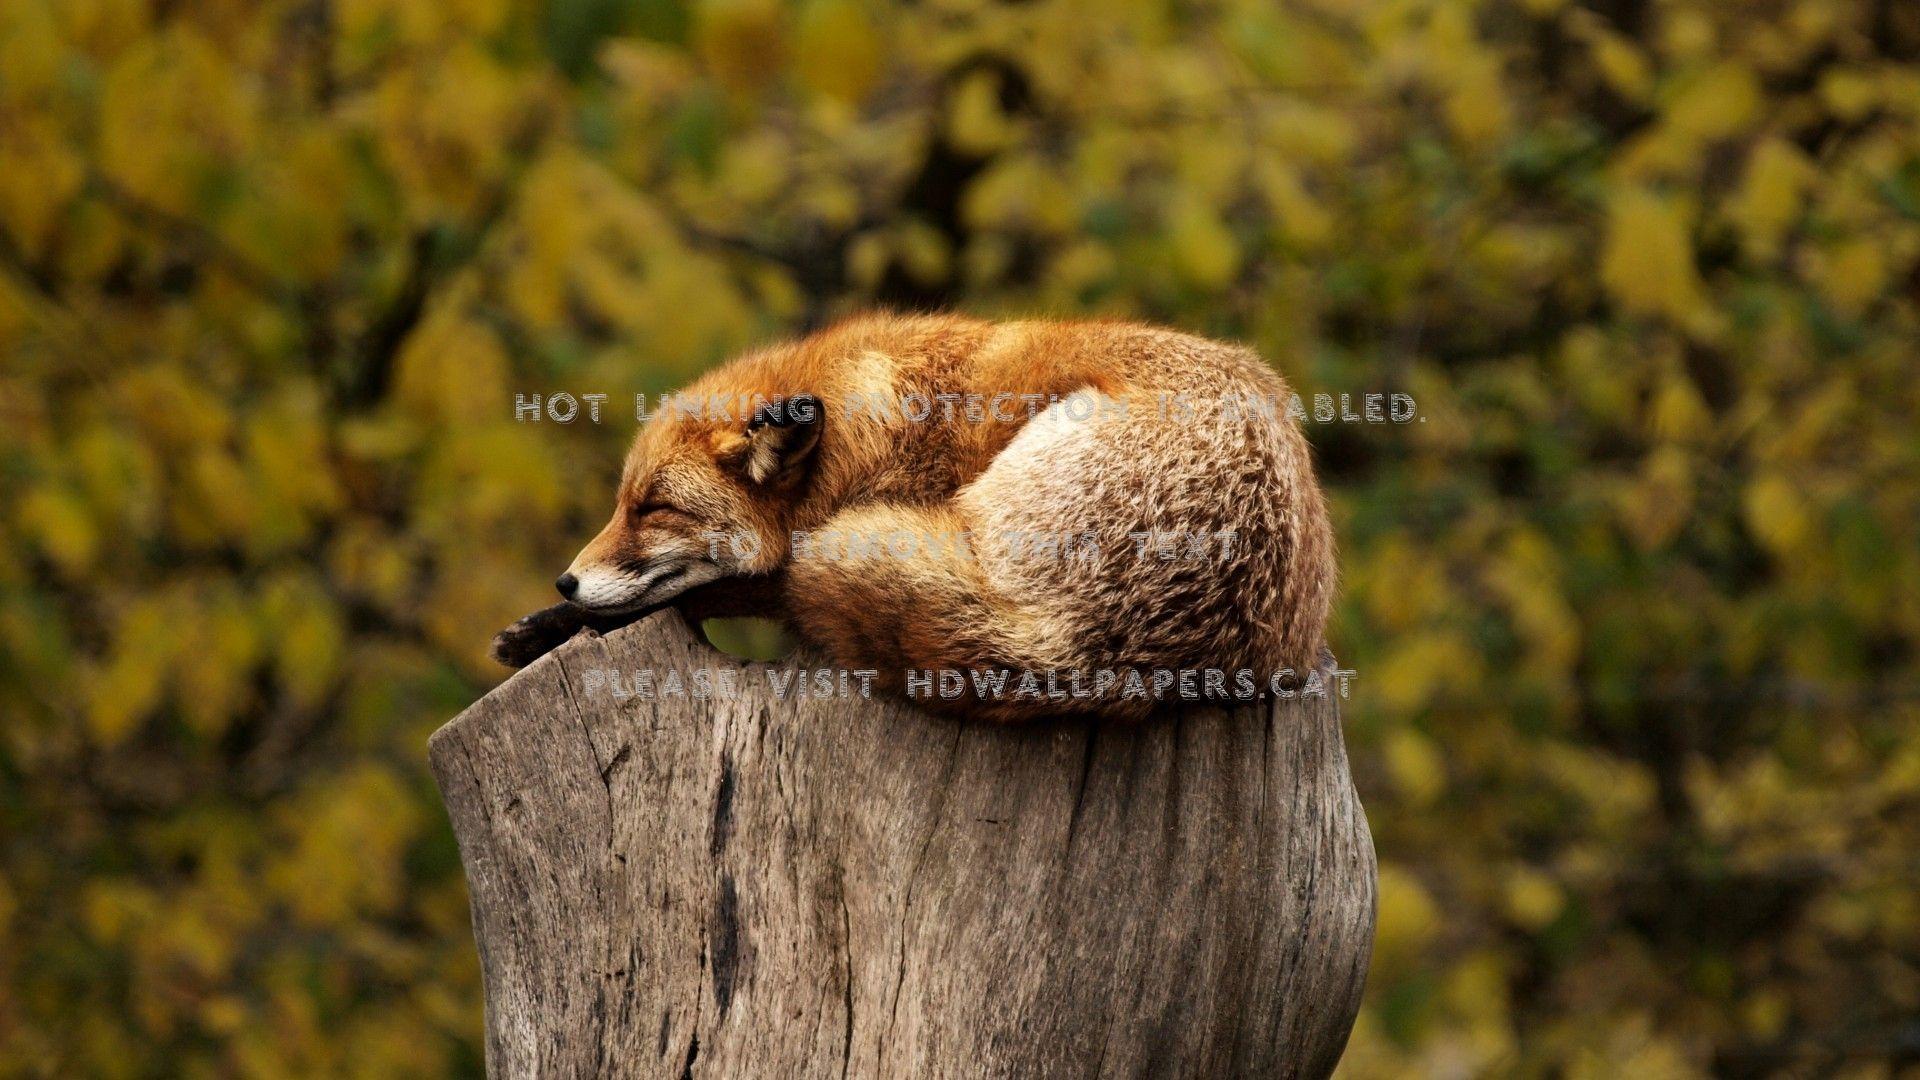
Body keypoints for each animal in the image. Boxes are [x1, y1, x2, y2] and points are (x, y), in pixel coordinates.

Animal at [492, 312, 1336, 722]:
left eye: (654, 508)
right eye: (621, 504)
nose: (565, 581)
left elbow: (727, 587)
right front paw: (544, 625)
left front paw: (555, 625)